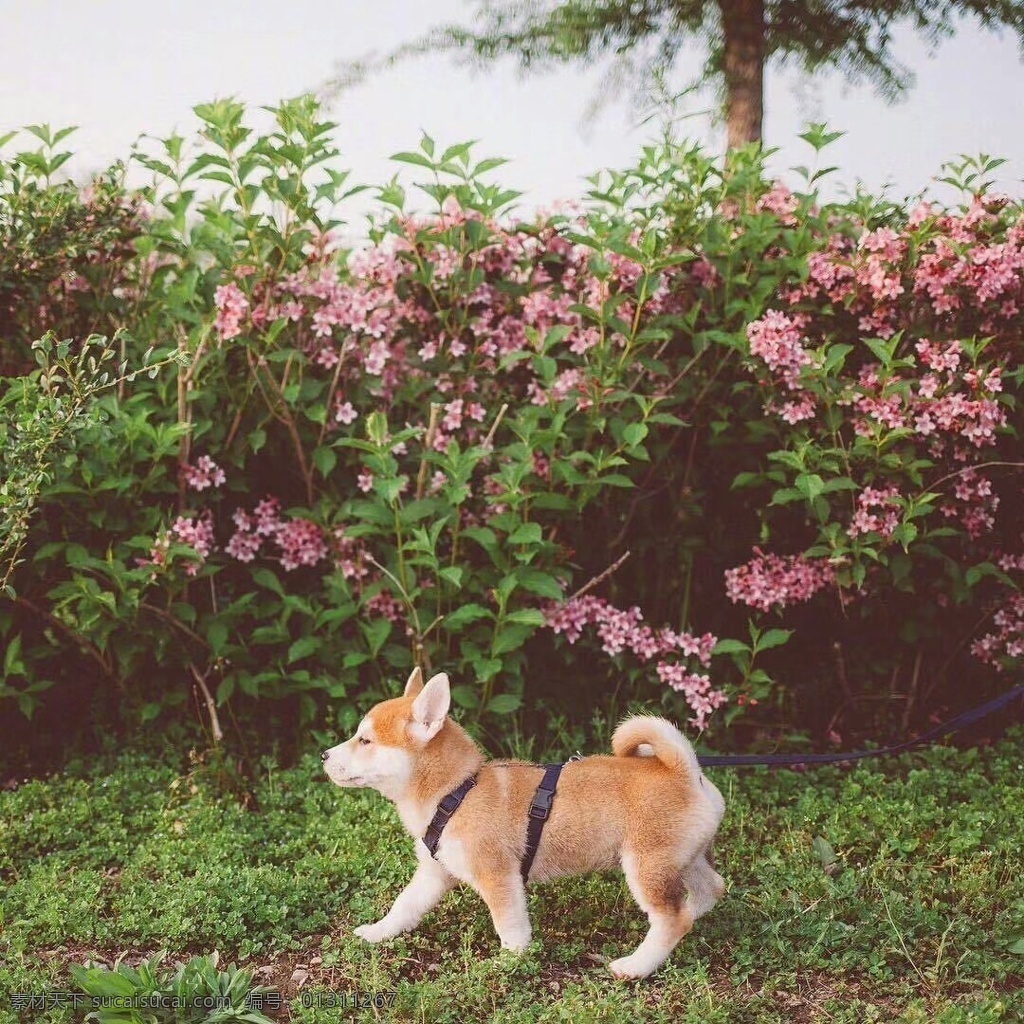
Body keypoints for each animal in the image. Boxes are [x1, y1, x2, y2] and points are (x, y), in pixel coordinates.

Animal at [321, 667, 729, 978]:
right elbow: (403, 907)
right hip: (683, 861)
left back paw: (635, 966)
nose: (324, 755)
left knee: (671, 919)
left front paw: (509, 964)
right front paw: (378, 932)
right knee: (709, 891)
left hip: (645, 867)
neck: (456, 792)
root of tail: (684, 769)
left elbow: (511, 928)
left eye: (365, 740)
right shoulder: (434, 874)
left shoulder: (498, 878)